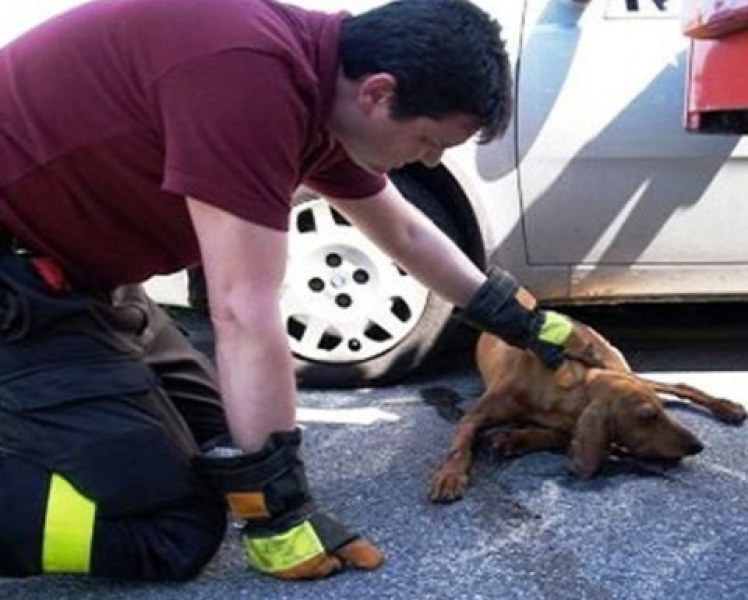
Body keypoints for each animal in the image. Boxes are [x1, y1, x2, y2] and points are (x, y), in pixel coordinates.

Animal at [430, 322, 744, 504]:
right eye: (647, 417)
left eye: (660, 412)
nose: (697, 445)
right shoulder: (473, 417)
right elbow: (460, 446)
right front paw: (450, 476)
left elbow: (559, 435)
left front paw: (516, 439)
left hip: (624, 369)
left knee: (680, 385)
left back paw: (728, 406)